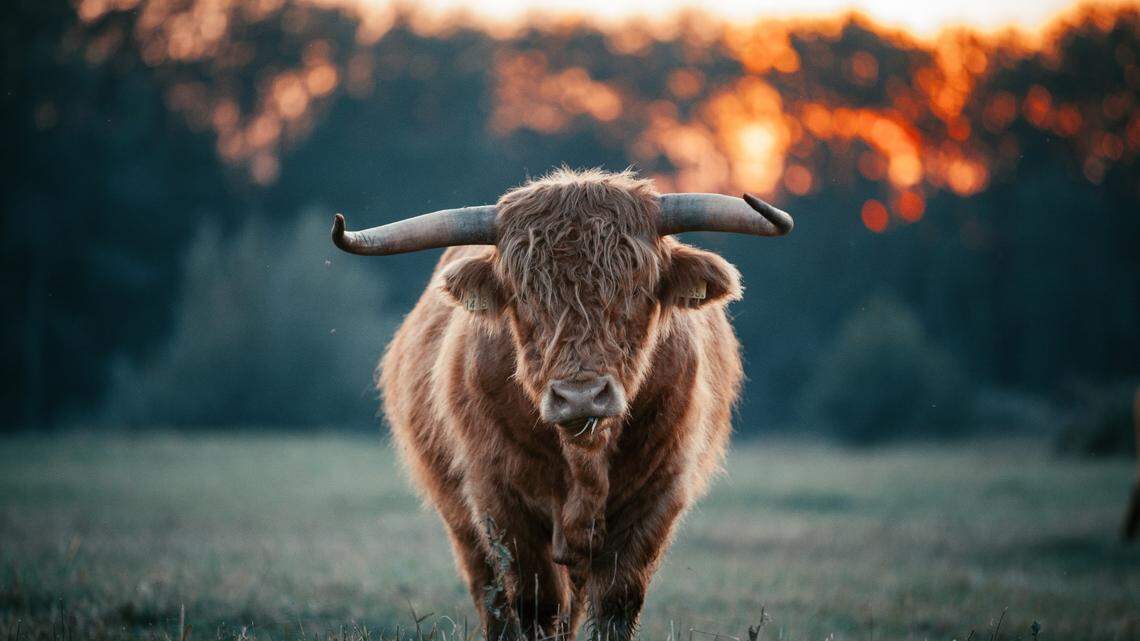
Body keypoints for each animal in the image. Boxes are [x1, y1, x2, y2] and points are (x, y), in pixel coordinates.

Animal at [331, 168, 793, 641]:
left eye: (636, 289)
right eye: (523, 296)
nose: (580, 396)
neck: (585, 459)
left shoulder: (658, 497)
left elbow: (617, 603)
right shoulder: (499, 500)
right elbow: (537, 604)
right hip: (463, 523)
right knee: (493, 597)